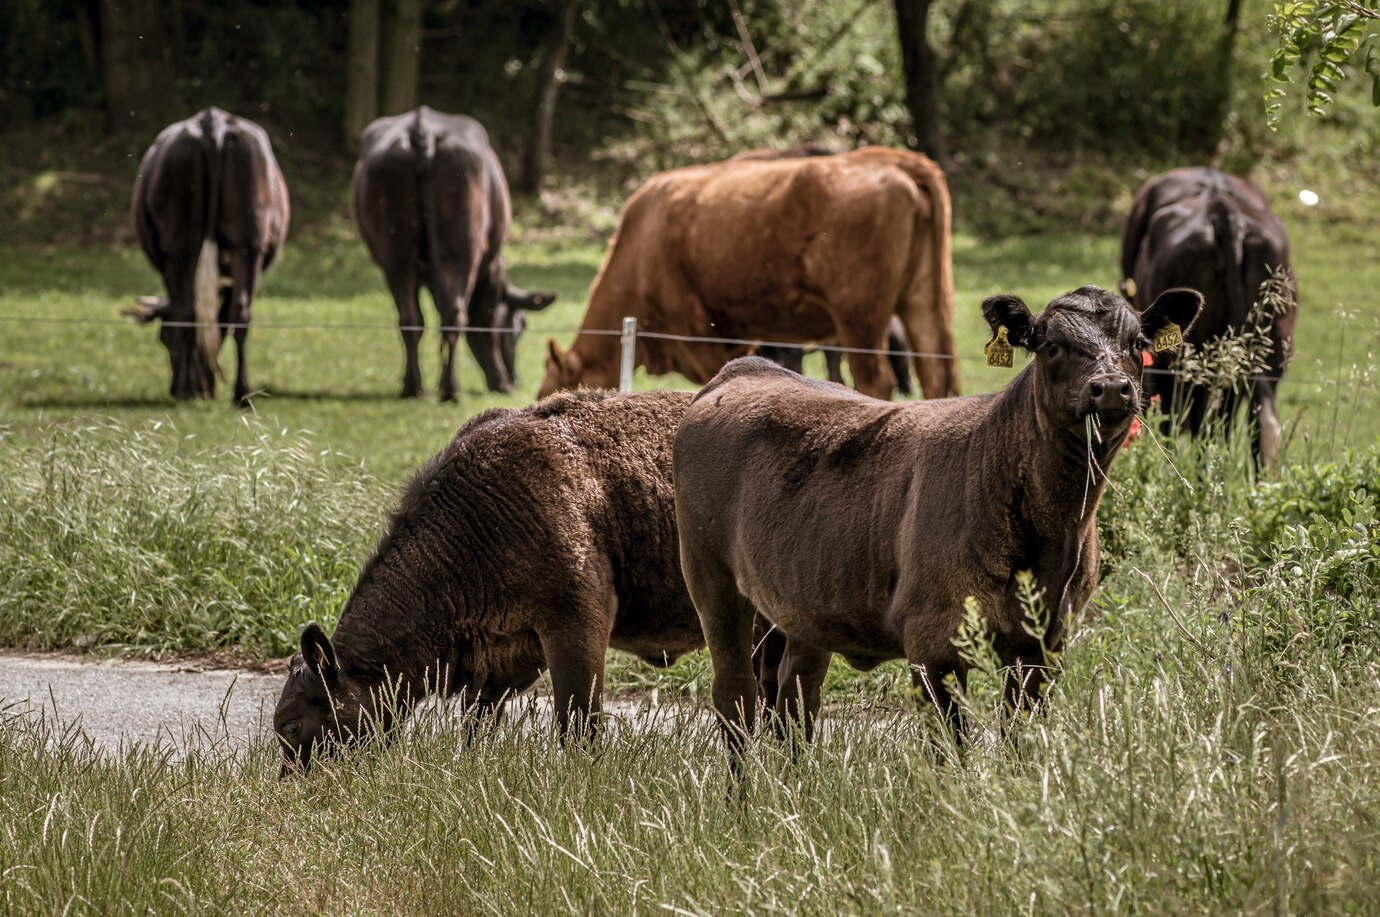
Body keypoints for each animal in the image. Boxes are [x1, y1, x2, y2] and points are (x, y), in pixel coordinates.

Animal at [130, 107, 289, 406]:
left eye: (163, 338)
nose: (173, 388)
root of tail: (212, 121)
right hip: (248, 244)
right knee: (239, 312)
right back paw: (241, 394)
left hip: (180, 244)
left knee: (186, 308)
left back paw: (188, 388)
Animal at [353, 105, 557, 400]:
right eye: (517, 327)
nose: (516, 379)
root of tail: (422, 126)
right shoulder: (493, 267)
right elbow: (486, 321)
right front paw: (499, 381)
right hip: (461, 250)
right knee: (454, 314)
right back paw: (451, 389)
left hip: (396, 253)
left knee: (411, 318)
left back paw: (414, 386)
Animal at [538, 149, 960, 400]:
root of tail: (891, 158)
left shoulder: (700, 334)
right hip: (921, 303)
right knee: (936, 372)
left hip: (860, 316)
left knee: (876, 379)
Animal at [673, 284, 1203, 751]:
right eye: (1052, 345)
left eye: (1137, 344)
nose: (1111, 388)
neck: (1053, 537)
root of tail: (747, 369)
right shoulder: (934, 644)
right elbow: (951, 748)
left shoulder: (1045, 646)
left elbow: (1021, 741)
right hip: (711, 581)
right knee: (735, 697)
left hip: (802, 603)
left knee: (795, 697)